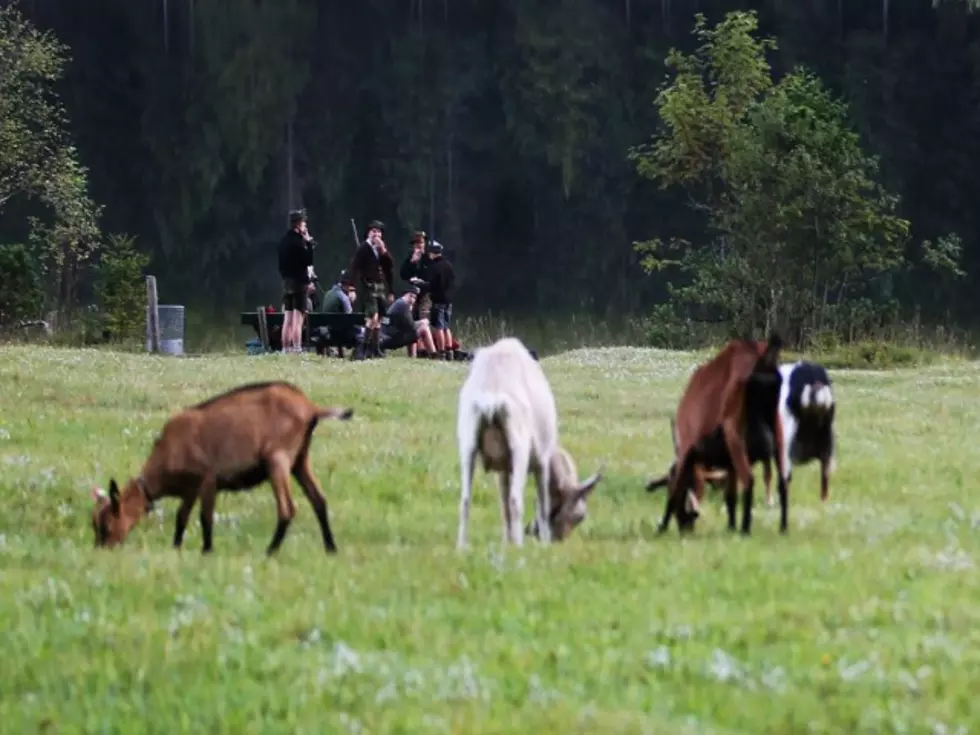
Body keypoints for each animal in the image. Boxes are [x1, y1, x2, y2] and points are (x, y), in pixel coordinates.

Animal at [90, 382, 354, 556]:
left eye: (107, 526)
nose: (101, 551)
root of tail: (310, 407)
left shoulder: (208, 479)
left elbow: (205, 517)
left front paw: (207, 551)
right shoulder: (190, 490)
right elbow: (181, 518)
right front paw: (176, 548)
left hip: (276, 459)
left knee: (288, 508)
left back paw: (270, 552)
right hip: (299, 460)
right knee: (318, 500)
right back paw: (331, 548)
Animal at [454, 336, 600, 548]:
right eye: (580, 516)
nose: (559, 542)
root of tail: (492, 399)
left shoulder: (503, 469)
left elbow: (503, 504)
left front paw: (507, 543)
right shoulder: (542, 460)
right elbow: (542, 503)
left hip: (468, 443)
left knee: (465, 499)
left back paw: (462, 547)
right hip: (519, 446)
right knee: (516, 500)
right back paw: (519, 546)